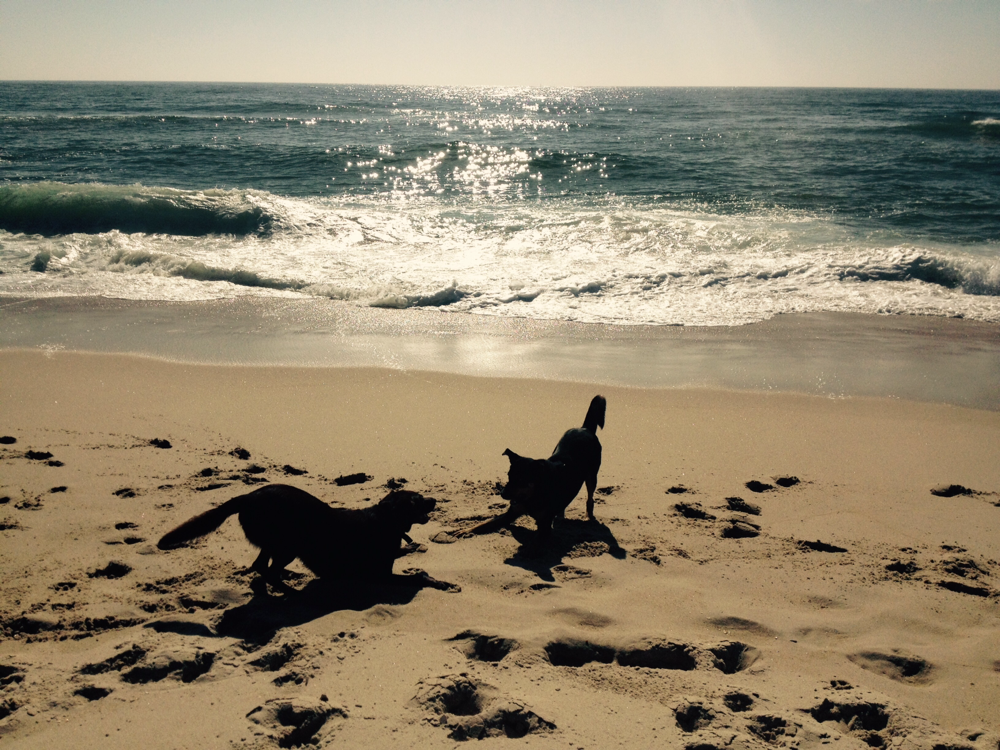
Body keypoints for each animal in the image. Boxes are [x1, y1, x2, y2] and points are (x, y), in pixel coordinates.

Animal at [157, 488, 450, 592]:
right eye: (416, 500)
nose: (435, 500)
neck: (386, 521)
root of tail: (248, 496)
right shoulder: (380, 576)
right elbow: (418, 576)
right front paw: (442, 583)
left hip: (275, 543)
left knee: (261, 566)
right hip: (288, 544)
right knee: (268, 569)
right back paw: (291, 591)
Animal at [466, 396, 604, 544]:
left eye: (522, 480)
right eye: (509, 476)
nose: (502, 493)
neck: (533, 495)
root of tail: (585, 428)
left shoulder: (545, 527)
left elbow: (533, 542)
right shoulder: (512, 512)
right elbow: (486, 523)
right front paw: (464, 531)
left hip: (592, 475)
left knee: (590, 497)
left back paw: (588, 516)